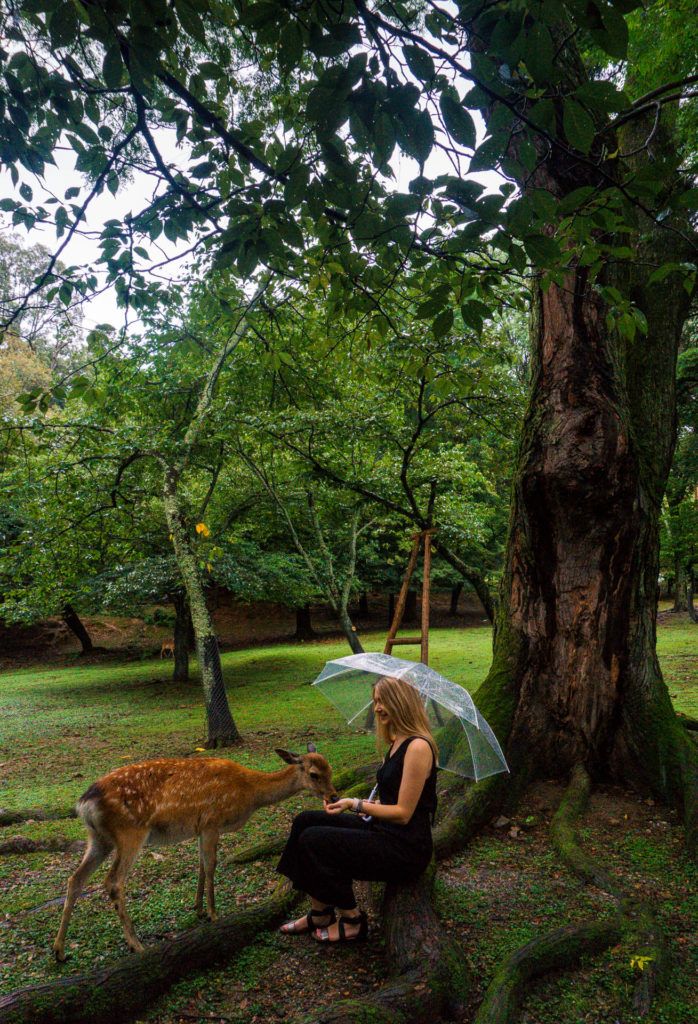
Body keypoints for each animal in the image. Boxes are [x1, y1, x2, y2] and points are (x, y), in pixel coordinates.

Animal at [52, 745, 333, 958]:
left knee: (75, 879)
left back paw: (59, 951)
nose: (332, 797)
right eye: (314, 774)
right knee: (113, 881)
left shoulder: (199, 827)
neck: (250, 793)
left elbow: (200, 864)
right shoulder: (212, 822)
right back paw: (137, 945)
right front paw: (213, 914)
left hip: (98, 838)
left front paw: (197, 907)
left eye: (330, 769)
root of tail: (84, 803)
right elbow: (211, 865)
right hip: (130, 833)